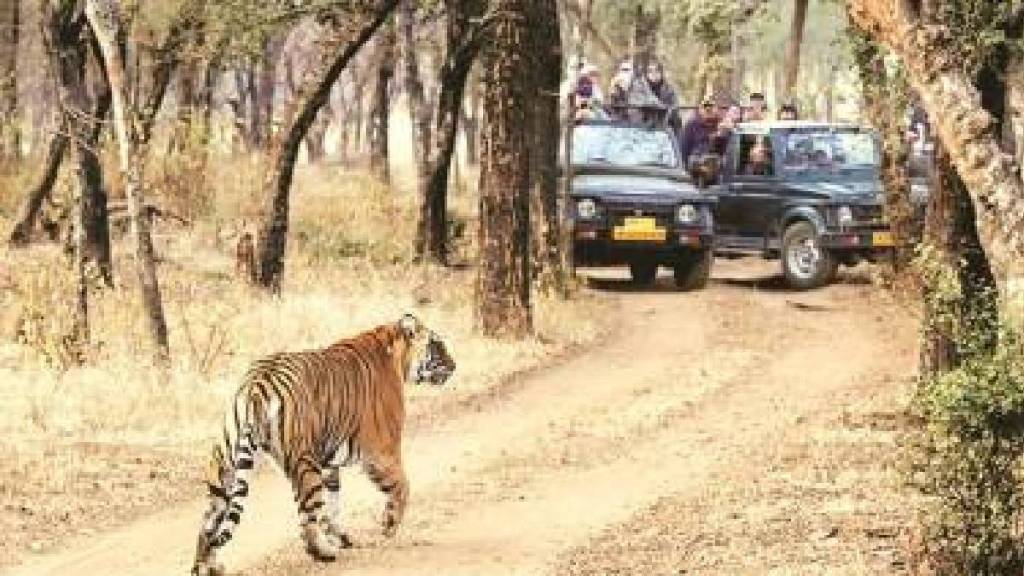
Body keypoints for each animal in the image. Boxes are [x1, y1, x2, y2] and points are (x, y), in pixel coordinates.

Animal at [193, 313, 458, 573]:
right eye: (437, 344)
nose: (454, 365)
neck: (394, 352)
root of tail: (257, 384)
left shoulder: (330, 462)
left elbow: (333, 504)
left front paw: (341, 537)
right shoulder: (382, 451)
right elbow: (402, 486)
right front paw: (388, 526)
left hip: (226, 464)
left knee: (209, 524)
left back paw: (207, 565)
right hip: (305, 463)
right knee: (306, 517)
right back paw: (323, 553)